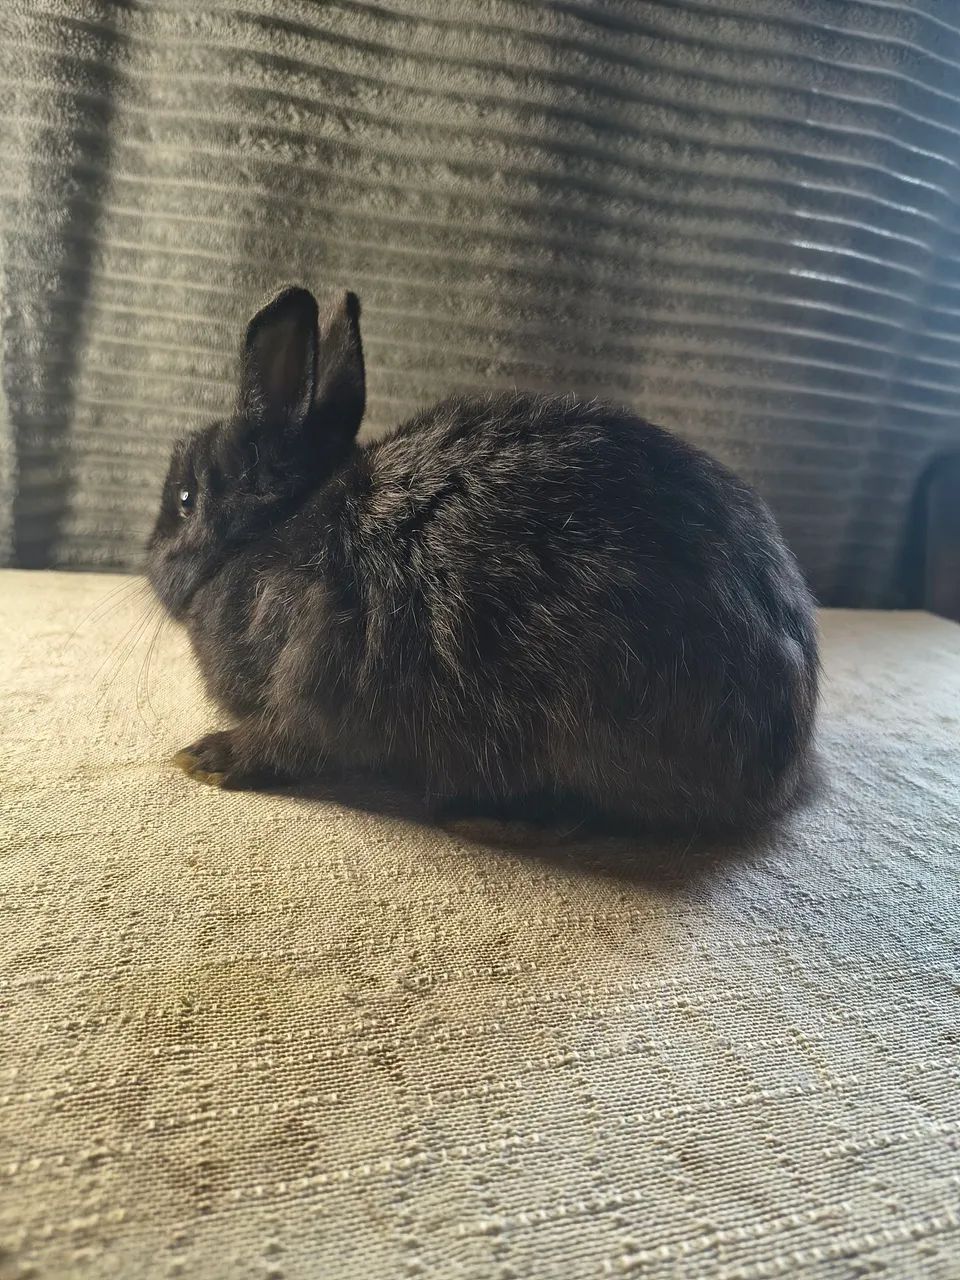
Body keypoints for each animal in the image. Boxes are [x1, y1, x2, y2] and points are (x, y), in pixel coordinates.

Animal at [147, 284, 819, 834]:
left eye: (183, 500)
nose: (148, 554)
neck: (274, 527)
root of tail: (782, 759)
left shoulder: (310, 670)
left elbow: (287, 738)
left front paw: (210, 758)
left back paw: (487, 816)